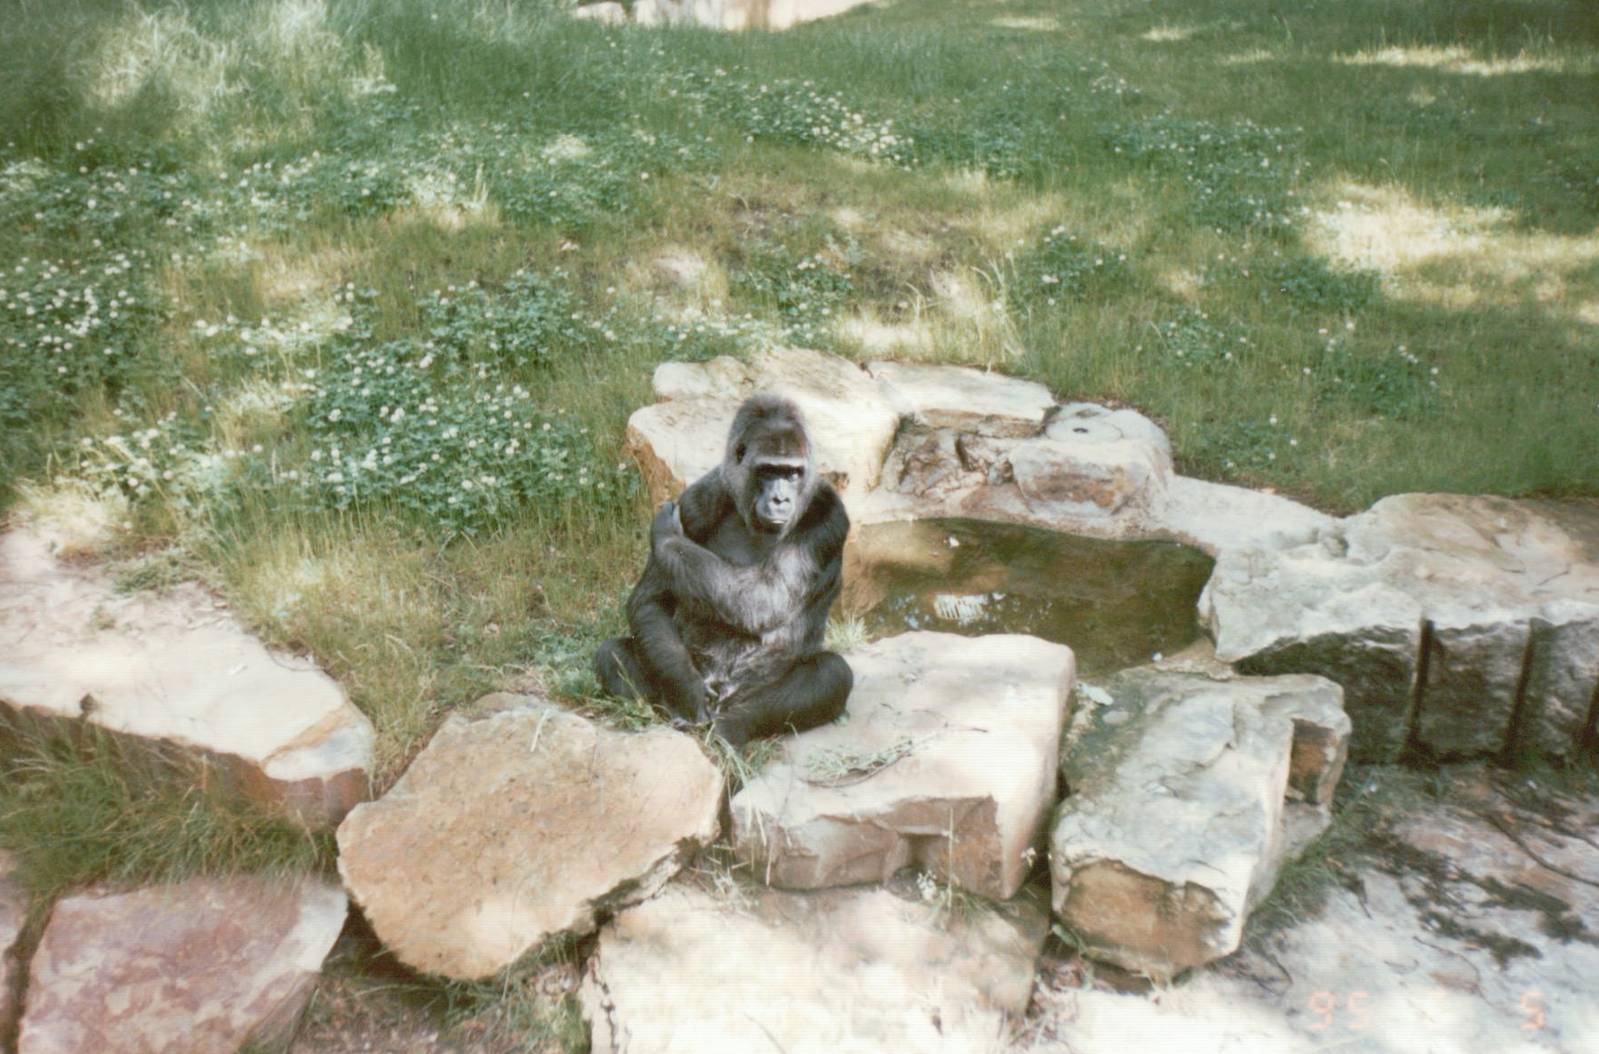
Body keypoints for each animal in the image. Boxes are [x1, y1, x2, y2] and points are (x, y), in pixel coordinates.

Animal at [595, 394, 852, 747]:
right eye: (768, 471)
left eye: (793, 474)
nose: (780, 499)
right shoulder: (697, 499)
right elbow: (650, 601)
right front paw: (686, 689)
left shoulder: (829, 517)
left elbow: (765, 599)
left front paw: (666, 539)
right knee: (611, 653)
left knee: (833, 674)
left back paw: (732, 727)